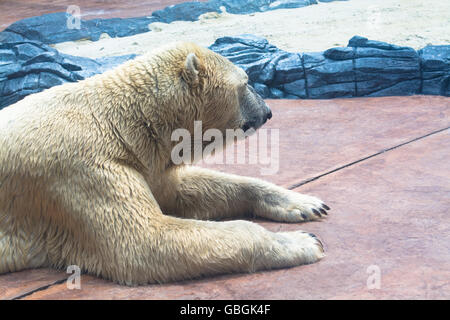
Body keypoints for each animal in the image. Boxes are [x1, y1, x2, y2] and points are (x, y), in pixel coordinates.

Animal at [0, 42, 330, 284]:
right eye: (246, 83)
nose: (268, 111)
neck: (119, 121)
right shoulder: (79, 168)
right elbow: (143, 242)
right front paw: (305, 242)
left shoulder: (143, 159)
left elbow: (180, 189)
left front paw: (305, 204)